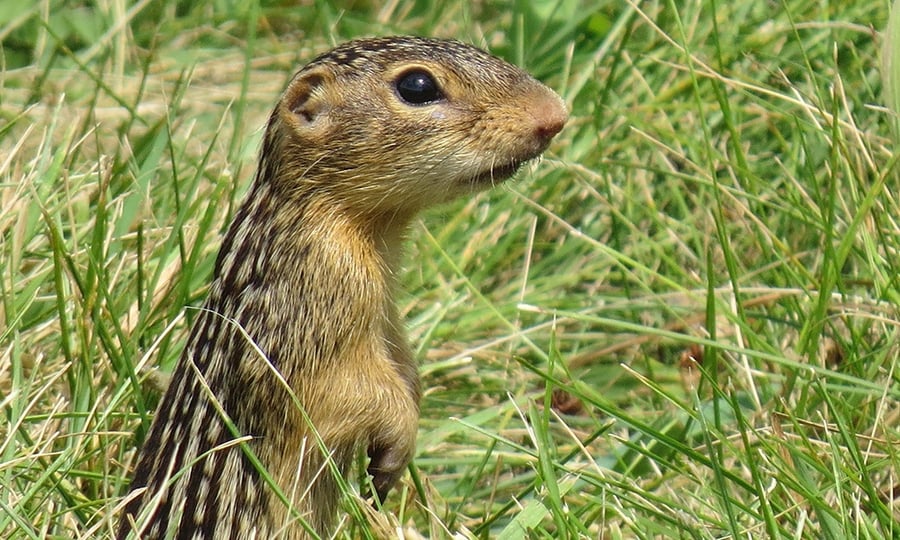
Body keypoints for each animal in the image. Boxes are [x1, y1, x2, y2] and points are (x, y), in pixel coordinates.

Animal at [117, 35, 567, 539]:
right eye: (417, 86)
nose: (556, 113)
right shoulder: (304, 322)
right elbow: (344, 391)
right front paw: (398, 439)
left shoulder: (385, 315)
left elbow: (403, 367)